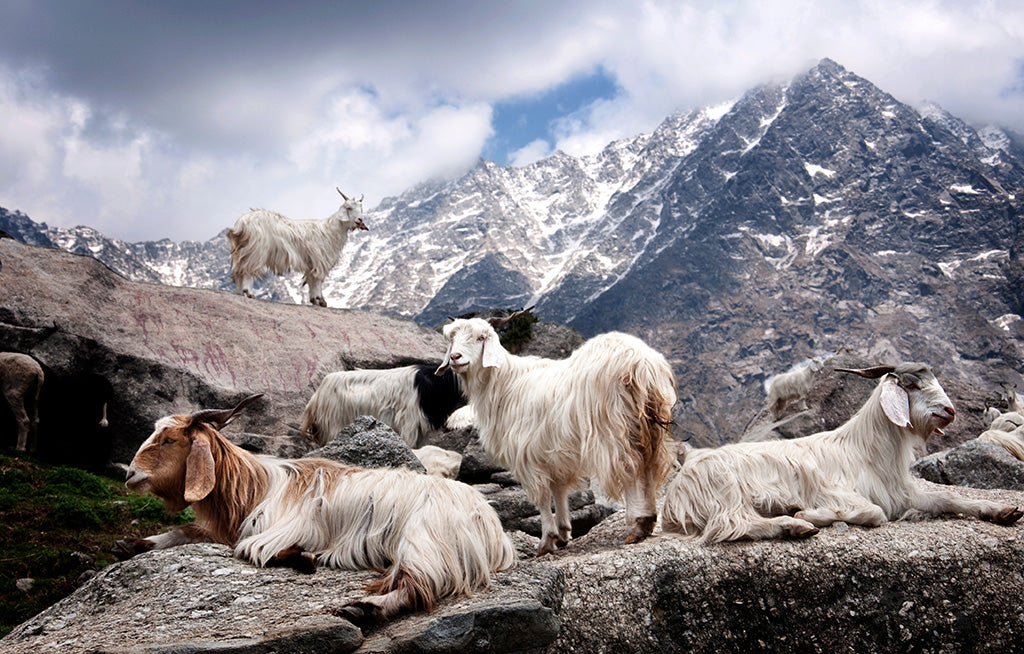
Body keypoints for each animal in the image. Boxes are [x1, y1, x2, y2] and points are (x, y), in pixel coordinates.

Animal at [119, 394, 515, 621]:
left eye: (169, 440)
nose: (131, 475)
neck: (255, 487)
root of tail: (490, 522)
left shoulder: (273, 530)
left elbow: (251, 550)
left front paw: (303, 557)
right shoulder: (229, 527)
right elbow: (188, 531)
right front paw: (134, 544)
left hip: (424, 541)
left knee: (419, 586)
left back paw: (365, 608)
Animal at [227, 188, 368, 307]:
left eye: (361, 208)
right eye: (349, 207)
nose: (360, 220)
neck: (330, 230)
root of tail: (241, 224)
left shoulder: (311, 263)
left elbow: (311, 280)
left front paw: (315, 300)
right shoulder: (320, 261)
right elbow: (317, 280)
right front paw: (320, 300)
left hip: (242, 250)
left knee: (238, 271)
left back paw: (240, 292)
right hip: (255, 251)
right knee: (247, 270)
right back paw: (249, 292)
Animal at [436, 317, 676, 556]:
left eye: (480, 338)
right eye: (452, 339)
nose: (456, 357)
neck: (505, 384)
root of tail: (640, 363)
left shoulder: (526, 455)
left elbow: (542, 498)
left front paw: (546, 541)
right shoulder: (554, 453)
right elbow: (559, 490)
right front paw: (563, 533)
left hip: (614, 428)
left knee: (631, 469)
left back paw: (637, 524)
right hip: (648, 426)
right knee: (649, 466)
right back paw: (648, 520)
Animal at [662, 363, 1022, 543]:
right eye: (911, 385)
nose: (949, 411)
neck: (866, 449)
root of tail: (678, 493)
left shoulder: (901, 492)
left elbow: (948, 499)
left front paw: (1002, 510)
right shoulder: (836, 490)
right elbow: (874, 513)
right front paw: (809, 514)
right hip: (726, 488)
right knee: (729, 526)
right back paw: (793, 525)